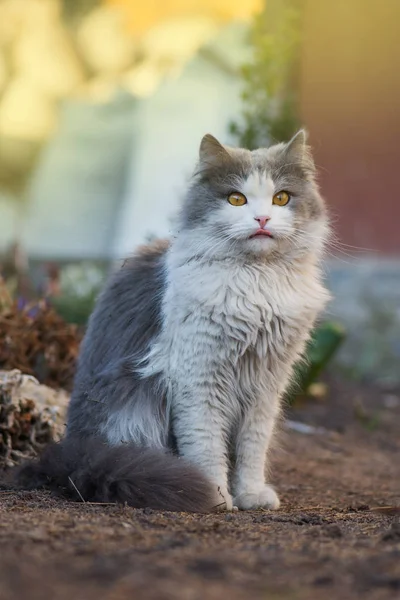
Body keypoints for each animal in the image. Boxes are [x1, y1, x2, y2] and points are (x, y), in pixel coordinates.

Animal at [17, 130, 330, 510]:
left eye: (281, 198)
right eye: (236, 199)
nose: (262, 220)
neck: (256, 281)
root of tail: (72, 451)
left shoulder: (266, 385)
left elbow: (252, 448)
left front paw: (251, 495)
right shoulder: (199, 377)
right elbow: (206, 445)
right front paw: (216, 495)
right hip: (132, 407)